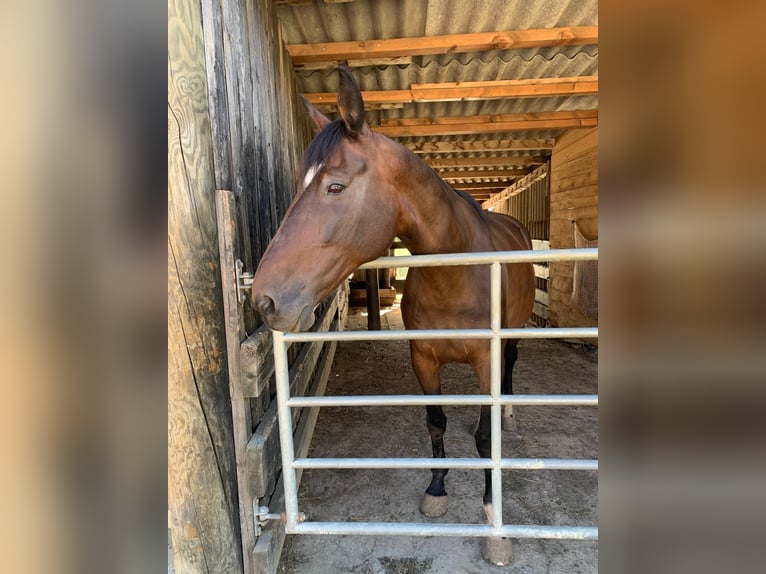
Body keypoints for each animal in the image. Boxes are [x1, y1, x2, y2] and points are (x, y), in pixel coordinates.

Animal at [252, 66, 534, 563]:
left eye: (335, 185)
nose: (264, 299)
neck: (456, 273)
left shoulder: (486, 357)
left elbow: (485, 439)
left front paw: (494, 521)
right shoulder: (422, 357)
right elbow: (435, 422)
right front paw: (437, 490)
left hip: (512, 337)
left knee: (510, 371)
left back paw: (510, 413)